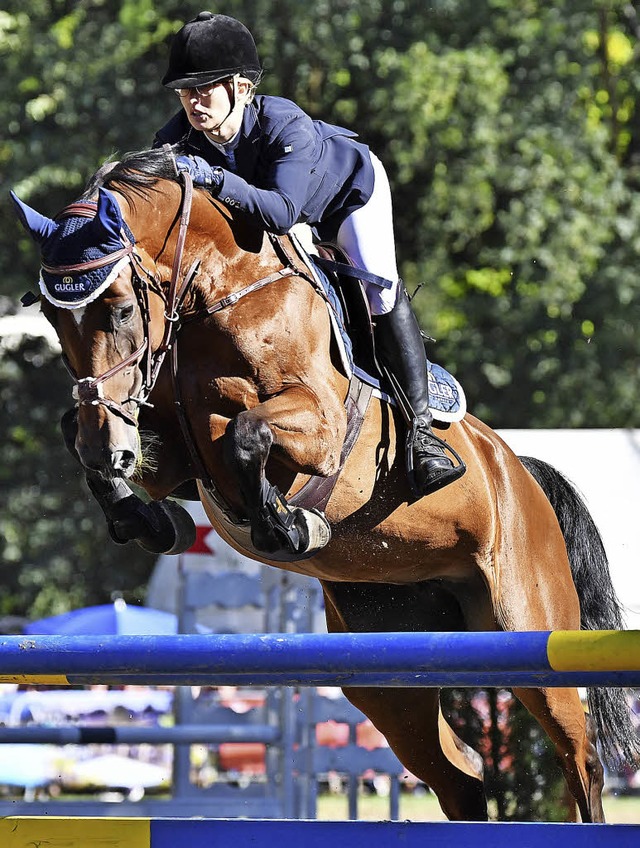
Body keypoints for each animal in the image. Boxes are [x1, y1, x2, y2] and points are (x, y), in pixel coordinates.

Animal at [11, 147, 640, 820]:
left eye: (123, 309)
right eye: (53, 318)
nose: (111, 446)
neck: (224, 295)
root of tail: (522, 473)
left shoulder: (318, 425)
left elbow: (246, 435)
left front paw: (285, 526)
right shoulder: (176, 452)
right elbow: (86, 434)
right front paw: (144, 518)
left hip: (526, 628)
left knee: (581, 761)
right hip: (391, 670)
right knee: (459, 774)